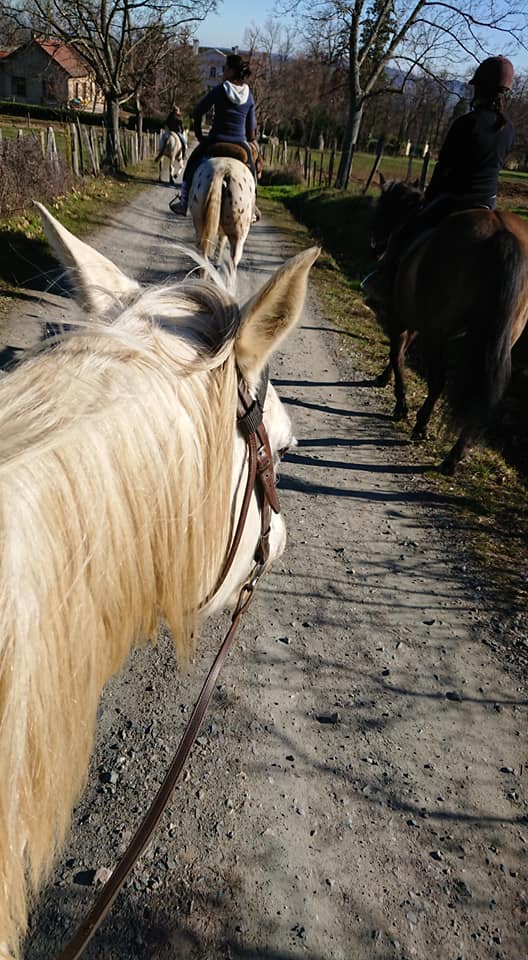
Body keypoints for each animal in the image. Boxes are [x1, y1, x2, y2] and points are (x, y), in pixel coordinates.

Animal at [366, 179, 528, 472]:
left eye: (382, 207)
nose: (375, 246)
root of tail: (500, 231)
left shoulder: (403, 318)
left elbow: (397, 353)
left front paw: (400, 403)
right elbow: (400, 352)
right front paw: (386, 380)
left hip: (440, 331)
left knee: (439, 381)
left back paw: (421, 426)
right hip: (495, 337)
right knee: (479, 392)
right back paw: (454, 456)